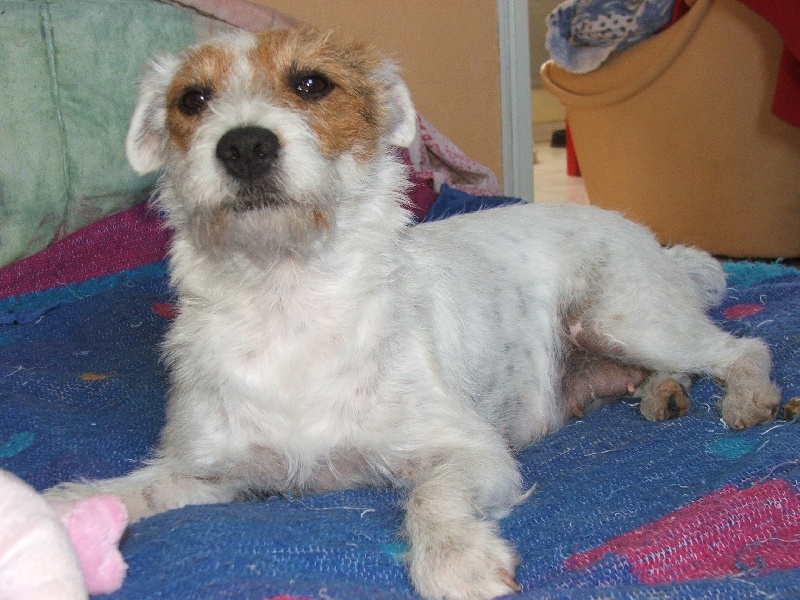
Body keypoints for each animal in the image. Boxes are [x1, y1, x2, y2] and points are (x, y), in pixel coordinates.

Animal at [46, 26, 781, 600]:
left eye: (311, 84)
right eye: (191, 100)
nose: (245, 145)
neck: (286, 297)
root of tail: (653, 241)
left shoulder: (472, 451)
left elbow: (431, 496)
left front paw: (456, 559)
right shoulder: (208, 472)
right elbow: (127, 491)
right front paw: (57, 516)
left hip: (623, 318)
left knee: (740, 349)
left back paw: (744, 398)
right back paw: (661, 392)